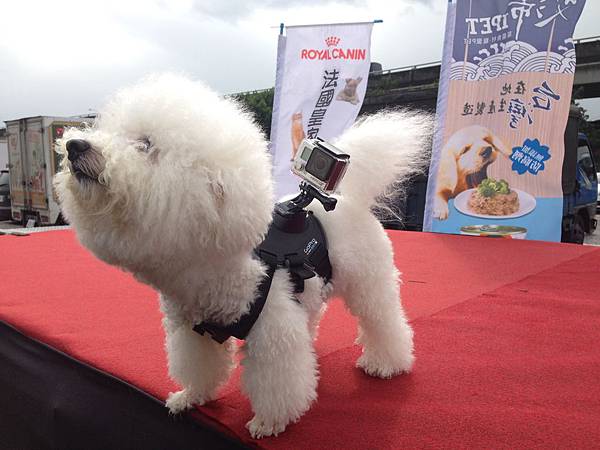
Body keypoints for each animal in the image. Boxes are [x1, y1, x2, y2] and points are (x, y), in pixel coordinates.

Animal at [54, 74, 432, 440]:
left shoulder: (273, 331)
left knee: (383, 318)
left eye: (145, 144)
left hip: (369, 281)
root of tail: (349, 198)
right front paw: (191, 396)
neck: (216, 263)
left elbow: (277, 382)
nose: (74, 146)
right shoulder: (192, 330)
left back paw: (386, 363)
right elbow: (199, 365)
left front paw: (270, 423)